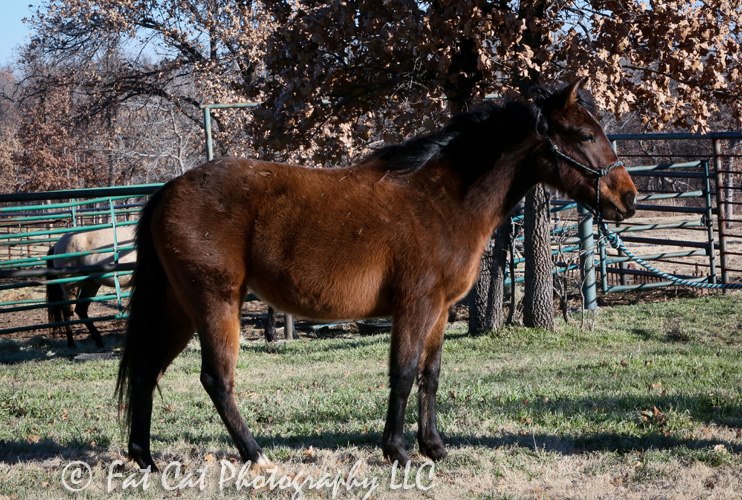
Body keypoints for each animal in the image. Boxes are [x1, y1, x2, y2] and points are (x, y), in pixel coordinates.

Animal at [116, 80, 640, 470]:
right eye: (584, 135)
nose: (628, 197)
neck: (442, 198)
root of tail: (168, 190)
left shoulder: (439, 310)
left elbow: (430, 374)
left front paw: (434, 447)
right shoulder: (415, 305)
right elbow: (403, 374)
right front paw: (398, 451)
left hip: (179, 308)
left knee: (146, 370)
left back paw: (145, 459)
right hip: (215, 303)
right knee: (216, 379)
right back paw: (255, 454)